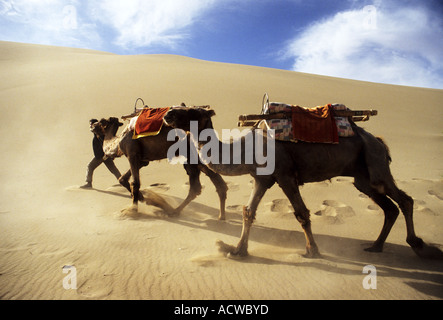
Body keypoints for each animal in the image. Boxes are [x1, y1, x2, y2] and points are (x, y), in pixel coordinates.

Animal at [91, 116, 229, 219]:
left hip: (193, 156)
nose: (91, 124)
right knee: (215, 183)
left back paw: (173, 211)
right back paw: (221, 217)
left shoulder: (132, 154)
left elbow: (135, 183)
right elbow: (122, 179)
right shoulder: (143, 160)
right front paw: (144, 198)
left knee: (199, 186)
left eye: (100, 122)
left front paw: (133, 210)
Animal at [164, 106, 443, 258]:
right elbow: (248, 212)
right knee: (389, 207)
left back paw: (419, 246)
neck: (246, 149)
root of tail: (380, 141)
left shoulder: (286, 175)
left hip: (376, 166)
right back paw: (375, 246)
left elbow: (301, 213)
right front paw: (236, 251)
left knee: (404, 200)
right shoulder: (262, 179)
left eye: (192, 111)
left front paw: (312, 250)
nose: (168, 113)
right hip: (363, 178)